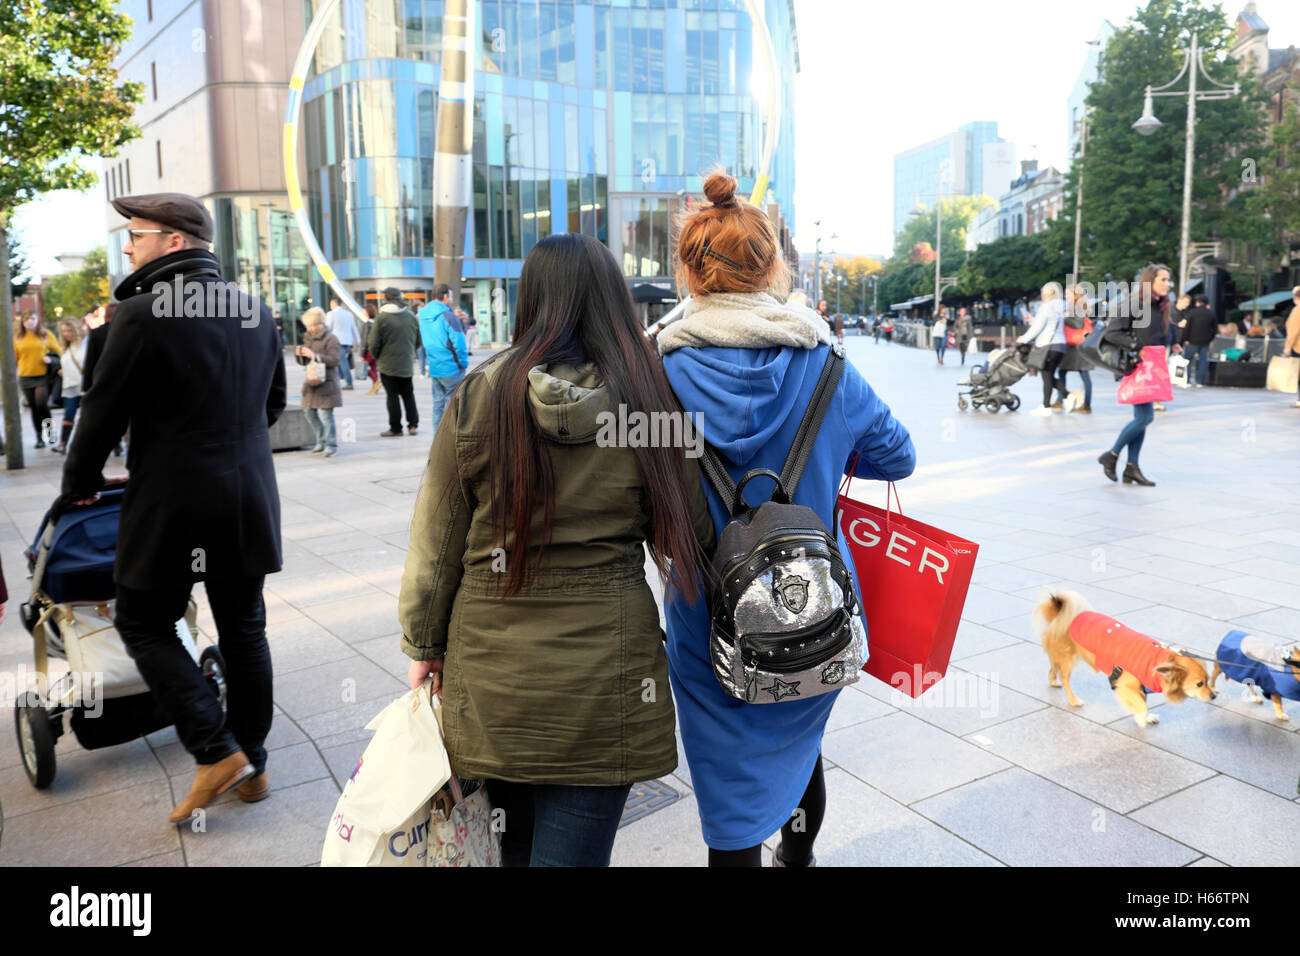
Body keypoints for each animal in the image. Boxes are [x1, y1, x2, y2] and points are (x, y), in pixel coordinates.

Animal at [1034, 590, 1216, 723]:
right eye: (1199, 684)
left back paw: (1053, 681)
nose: (1214, 696)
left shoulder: (1141, 689)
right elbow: (1142, 705)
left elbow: (1143, 703)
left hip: (1060, 657)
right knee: (1065, 677)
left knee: (1053, 667)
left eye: (1208, 681)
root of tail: (1059, 614)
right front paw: (1142, 719)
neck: (1158, 662)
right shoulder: (1124, 685)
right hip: (1068, 660)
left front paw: (1145, 717)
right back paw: (1073, 700)